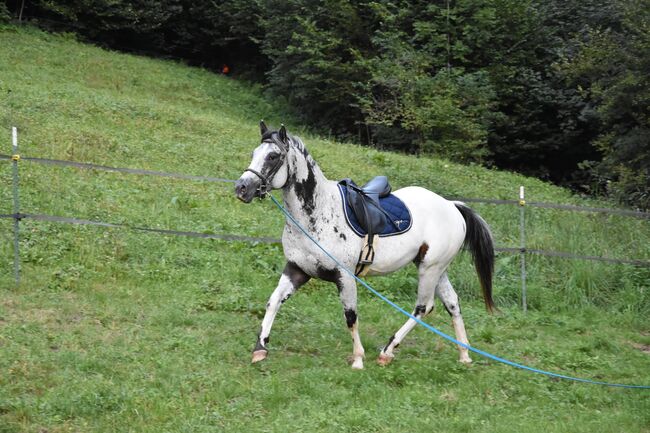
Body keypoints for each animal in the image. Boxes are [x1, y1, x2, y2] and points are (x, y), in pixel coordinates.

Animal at [235, 121, 494, 368]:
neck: (318, 213)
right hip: (435, 268)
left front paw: (358, 359)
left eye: (273, 156)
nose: (241, 188)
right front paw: (260, 349)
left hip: (430, 269)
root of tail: (452, 206)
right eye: (254, 152)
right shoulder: (297, 270)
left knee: (424, 307)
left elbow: (351, 316)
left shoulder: (344, 276)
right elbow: (273, 301)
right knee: (452, 303)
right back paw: (464, 355)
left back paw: (387, 351)